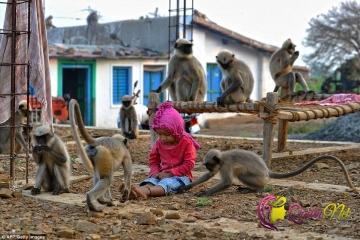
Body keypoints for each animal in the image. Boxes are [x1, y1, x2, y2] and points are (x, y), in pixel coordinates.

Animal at [179, 148, 358, 197]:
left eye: (208, 165)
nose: (208, 168)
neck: (222, 158)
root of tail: (267, 170)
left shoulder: (226, 165)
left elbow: (227, 182)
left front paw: (204, 193)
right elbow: (208, 177)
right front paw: (186, 187)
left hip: (259, 178)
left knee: (242, 175)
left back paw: (255, 189)